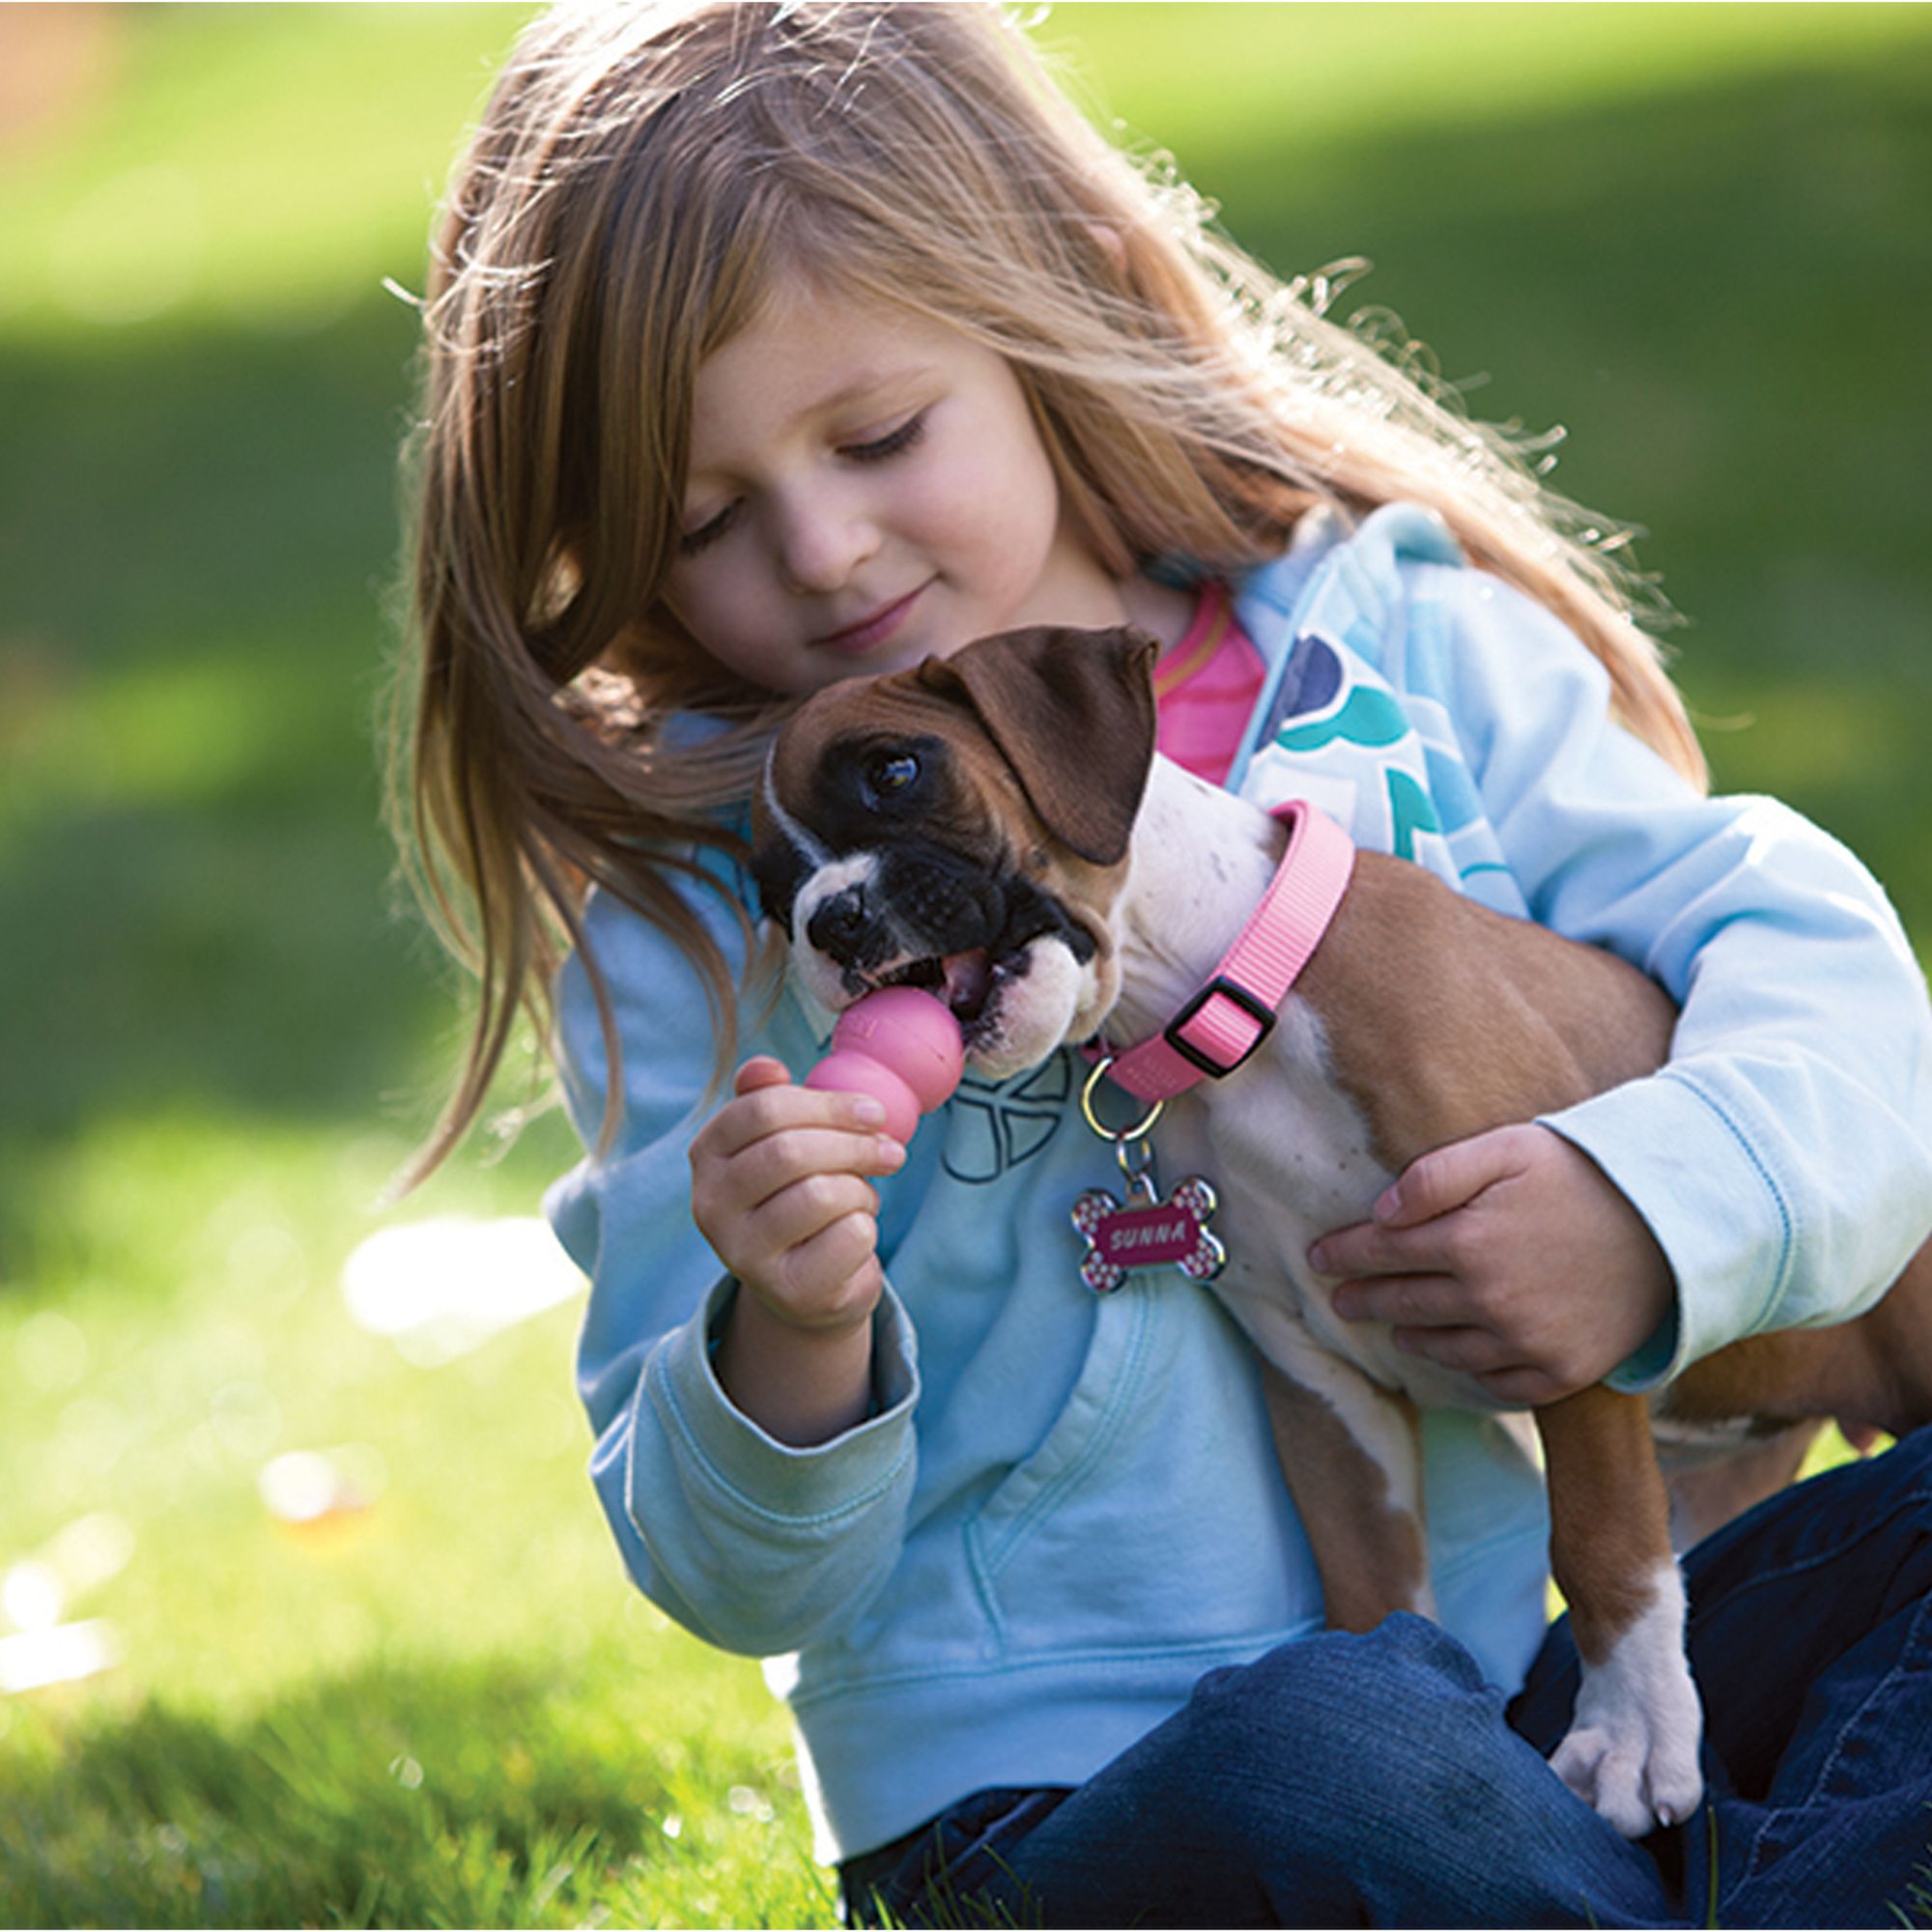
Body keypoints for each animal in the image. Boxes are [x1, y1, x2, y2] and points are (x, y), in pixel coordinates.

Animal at [750, 630, 1932, 1839]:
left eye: (894, 770)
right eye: (770, 891)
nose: (832, 920)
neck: (1233, 995)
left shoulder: (1555, 1304)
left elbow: (1600, 1537)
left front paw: (1627, 1736)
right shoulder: (1321, 1390)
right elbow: (1369, 1587)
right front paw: (1397, 1688)